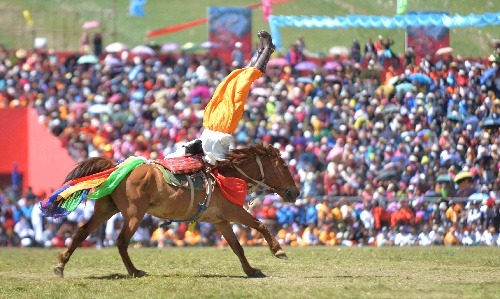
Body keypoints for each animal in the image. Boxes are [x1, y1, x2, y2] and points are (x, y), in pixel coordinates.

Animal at [51, 144, 300, 278]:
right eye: (284, 166)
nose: (295, 193)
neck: (227, 177)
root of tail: (117, 168)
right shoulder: (233, 213)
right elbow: (260, 225)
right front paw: (278, 250)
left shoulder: (220, 220)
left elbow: (237, 247)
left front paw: (250, 270)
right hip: (134, 214)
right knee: (121, 241)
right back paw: (135, 271)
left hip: (105, 210)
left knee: (81, 233)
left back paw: (60, 265)